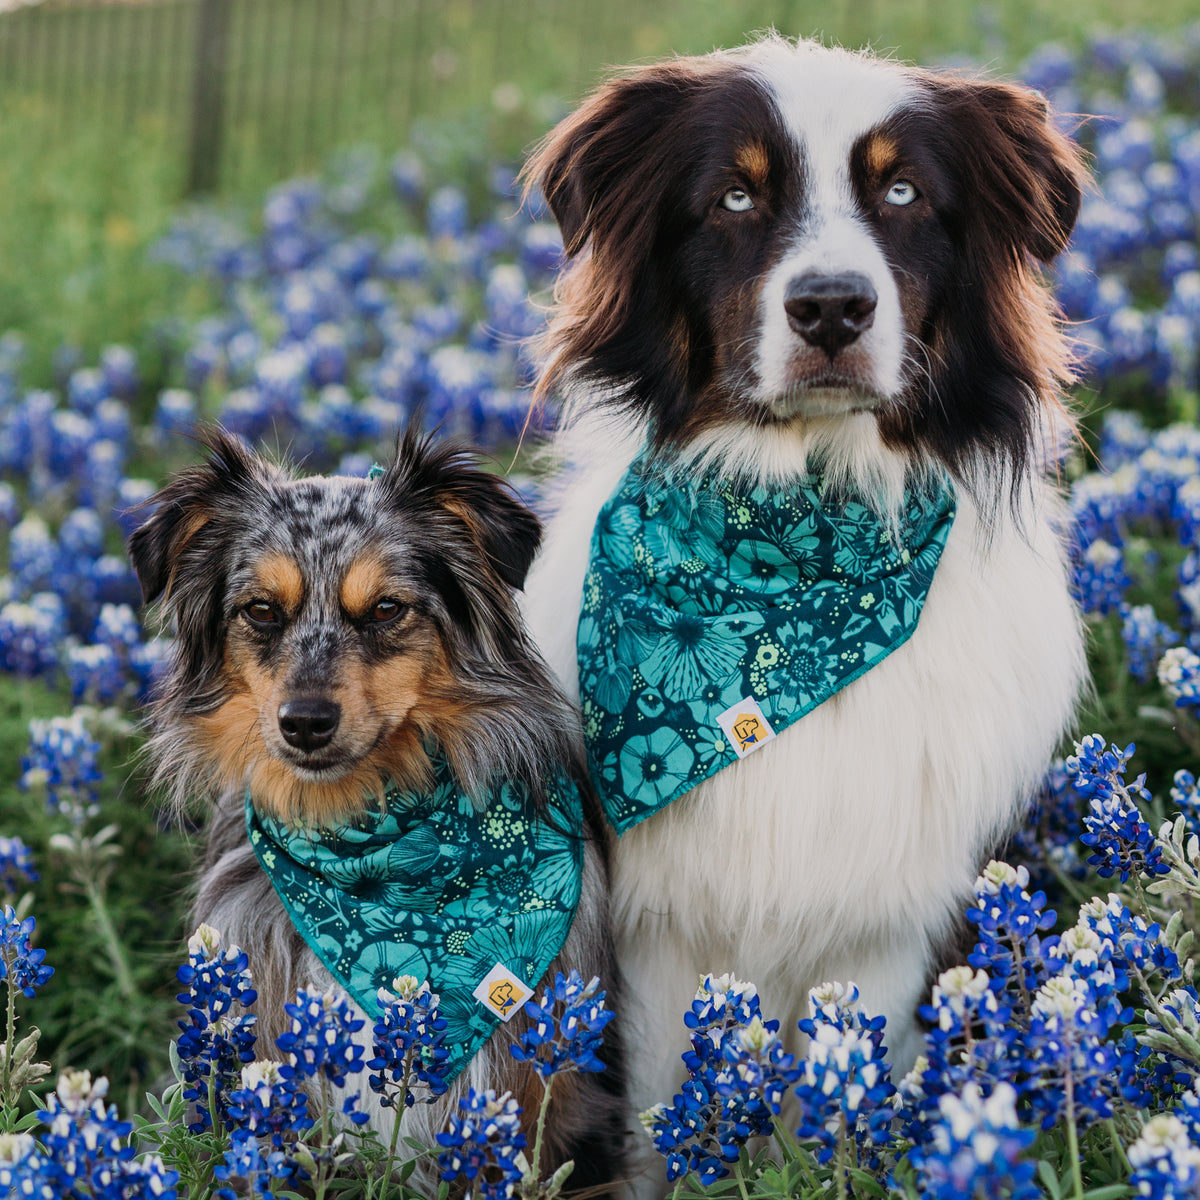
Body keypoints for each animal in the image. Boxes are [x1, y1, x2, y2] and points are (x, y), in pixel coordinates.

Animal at [520, 32, 1094, 1142]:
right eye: (735, 199)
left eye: (905, 192)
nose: (832, 305)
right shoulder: (663, 938)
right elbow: (664, 1123)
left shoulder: (886, 928)